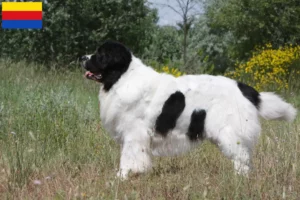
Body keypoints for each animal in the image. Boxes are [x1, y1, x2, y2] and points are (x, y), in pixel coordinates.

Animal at [80, 39, 298, 179]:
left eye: (101, 55)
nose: (82, 57)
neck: (123, 77)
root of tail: (244, 88)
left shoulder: (134, 132)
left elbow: (129, 156)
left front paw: (123, 175)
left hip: (229, 131)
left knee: (242, 158)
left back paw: (240, 180)